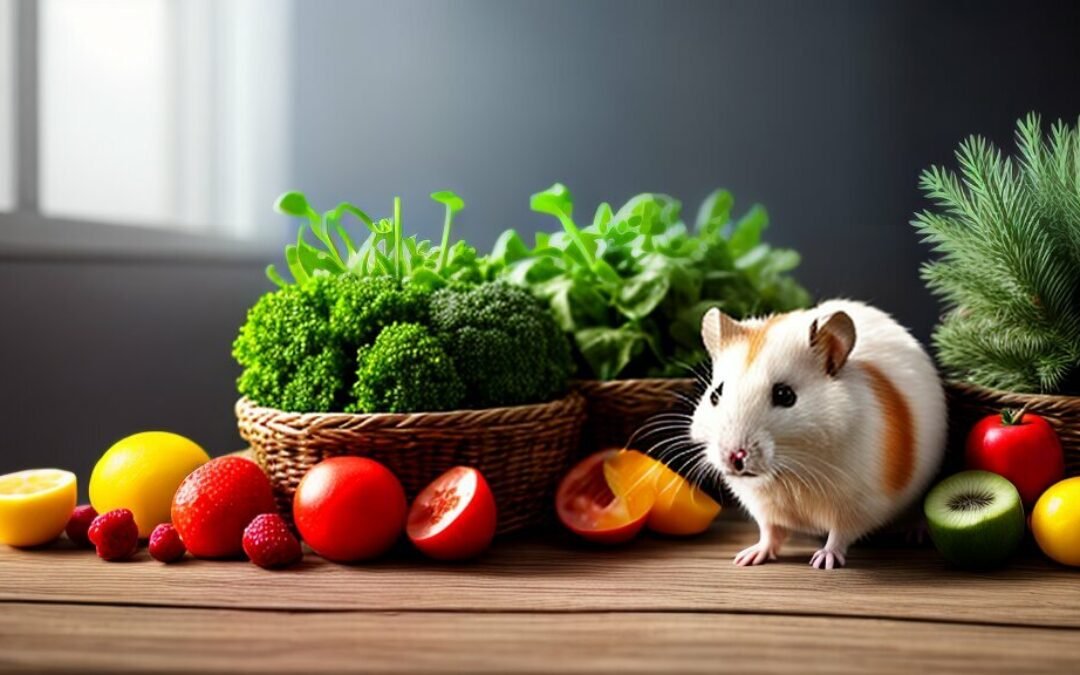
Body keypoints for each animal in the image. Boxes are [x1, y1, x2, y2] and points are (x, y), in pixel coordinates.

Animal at [689, 299, 946, 569]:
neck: (792, 472)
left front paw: (824, 562)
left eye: (785, 395)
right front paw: (746, 558)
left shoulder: (859, 503)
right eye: (715, 394)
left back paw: (917, 534)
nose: (734, 457)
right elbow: (769, 531)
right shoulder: (760, 504)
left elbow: (839, 534)